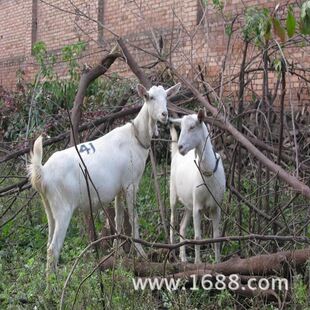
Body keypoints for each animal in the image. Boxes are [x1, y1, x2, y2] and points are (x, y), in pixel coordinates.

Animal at [28, 82, 182, 274]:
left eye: (166, 97)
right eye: (150, 97)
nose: (164, 114)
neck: (136, 137)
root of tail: (42, 173)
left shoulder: (119, 188)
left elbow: (118, 218)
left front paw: (117, 254)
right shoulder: (130, 183)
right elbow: (133, 217)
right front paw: (141, 254)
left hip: (49, 207)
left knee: (48, 242)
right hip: (63, 207)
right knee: (53, 248)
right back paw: (55, 282)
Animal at [170, 109, 225, 264]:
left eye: (192, 127)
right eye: (181, 127)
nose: (181, 147)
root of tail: (175, 155)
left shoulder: (216, 206)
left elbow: (216, 237)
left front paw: (218, 262)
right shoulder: (198, 207)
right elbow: (197, 237)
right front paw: (198, 263)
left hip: (189, 204)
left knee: (182, 226)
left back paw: (183, 258)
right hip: (173, 194)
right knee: (172, 221)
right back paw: (172, 254)